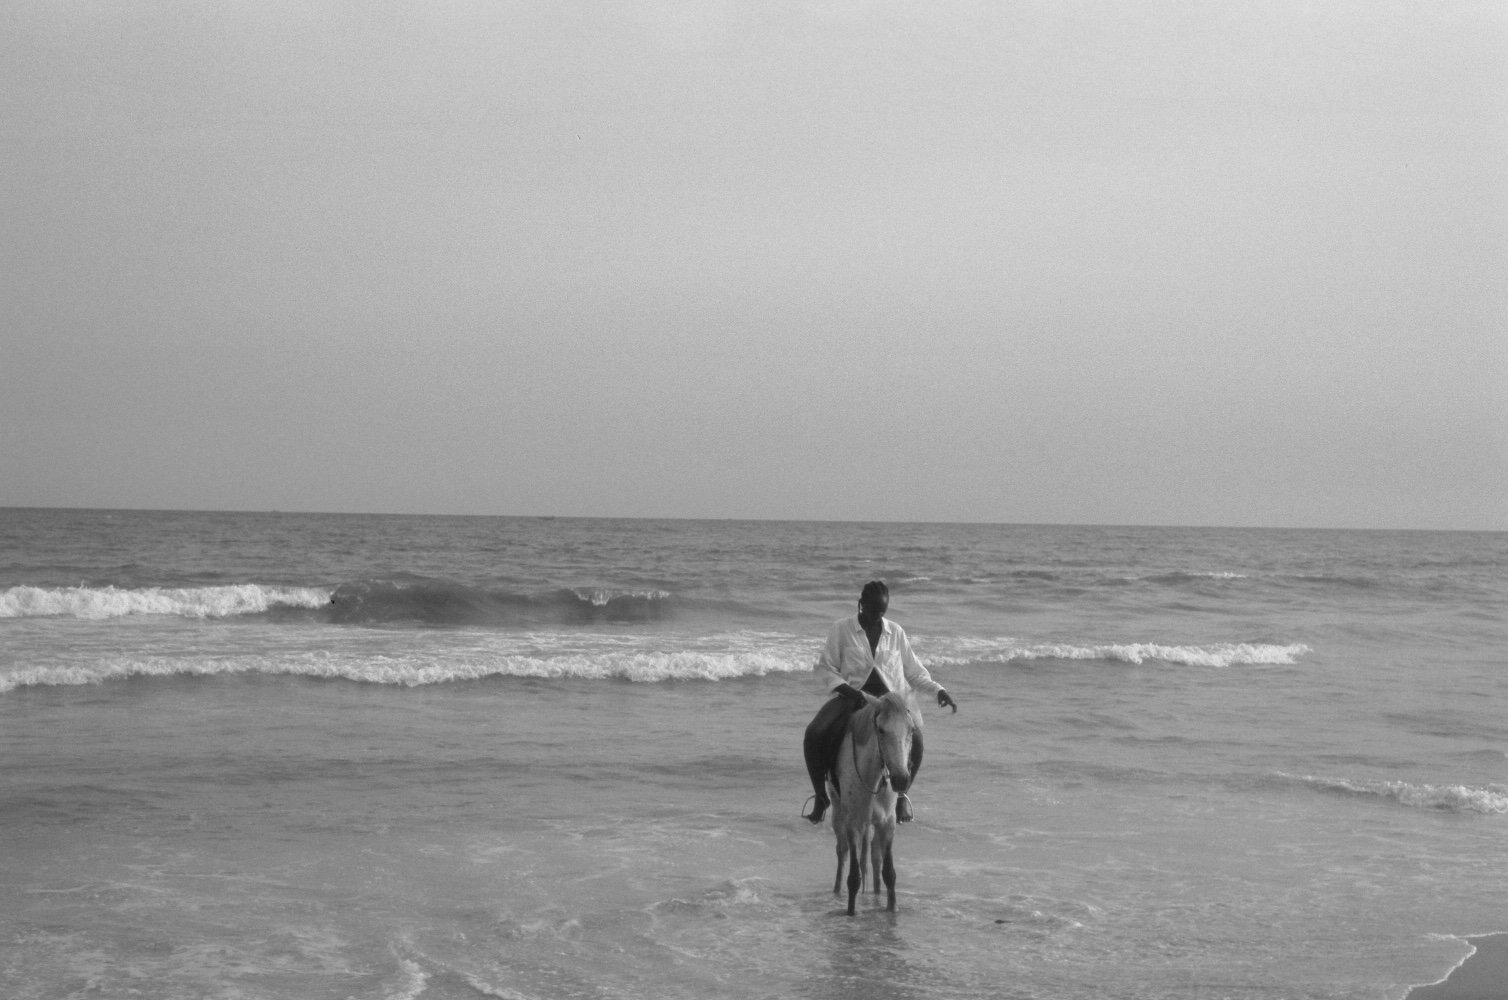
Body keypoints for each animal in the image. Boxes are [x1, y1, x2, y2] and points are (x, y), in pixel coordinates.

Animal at [828, 691, 920, 916]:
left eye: (912, 729)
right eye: (881, 730)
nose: (900, 780)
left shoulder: (888, 823)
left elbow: (889, 873)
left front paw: (892, 909)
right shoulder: (853, 823)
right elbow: (854, 877)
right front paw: (851, 913)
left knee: (875, 859)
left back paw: (876, 894)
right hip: (839, 815)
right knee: (842, 852)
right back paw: (836, 891)